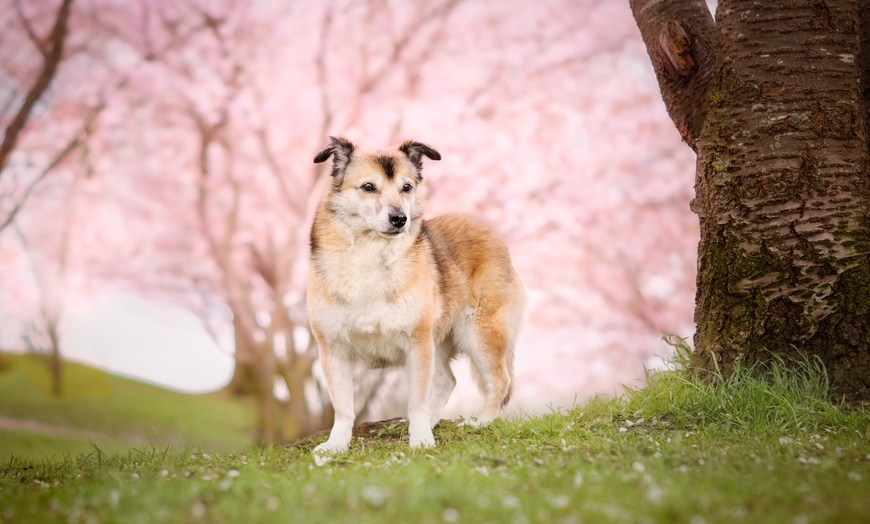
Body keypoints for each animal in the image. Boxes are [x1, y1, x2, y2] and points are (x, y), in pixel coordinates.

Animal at [308, 137, 524, 452]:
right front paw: (336, 445)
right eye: (368, 187)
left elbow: (417, 401)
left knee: (499, 381)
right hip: (441, 341)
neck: (371, 253)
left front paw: (421, 439)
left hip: (479, 334)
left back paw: (480, 422)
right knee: (448, 381)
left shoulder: (417, 343)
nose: (400, 219)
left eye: (407, 187)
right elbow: (343, 408)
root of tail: (490, 232)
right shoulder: (333, 348)